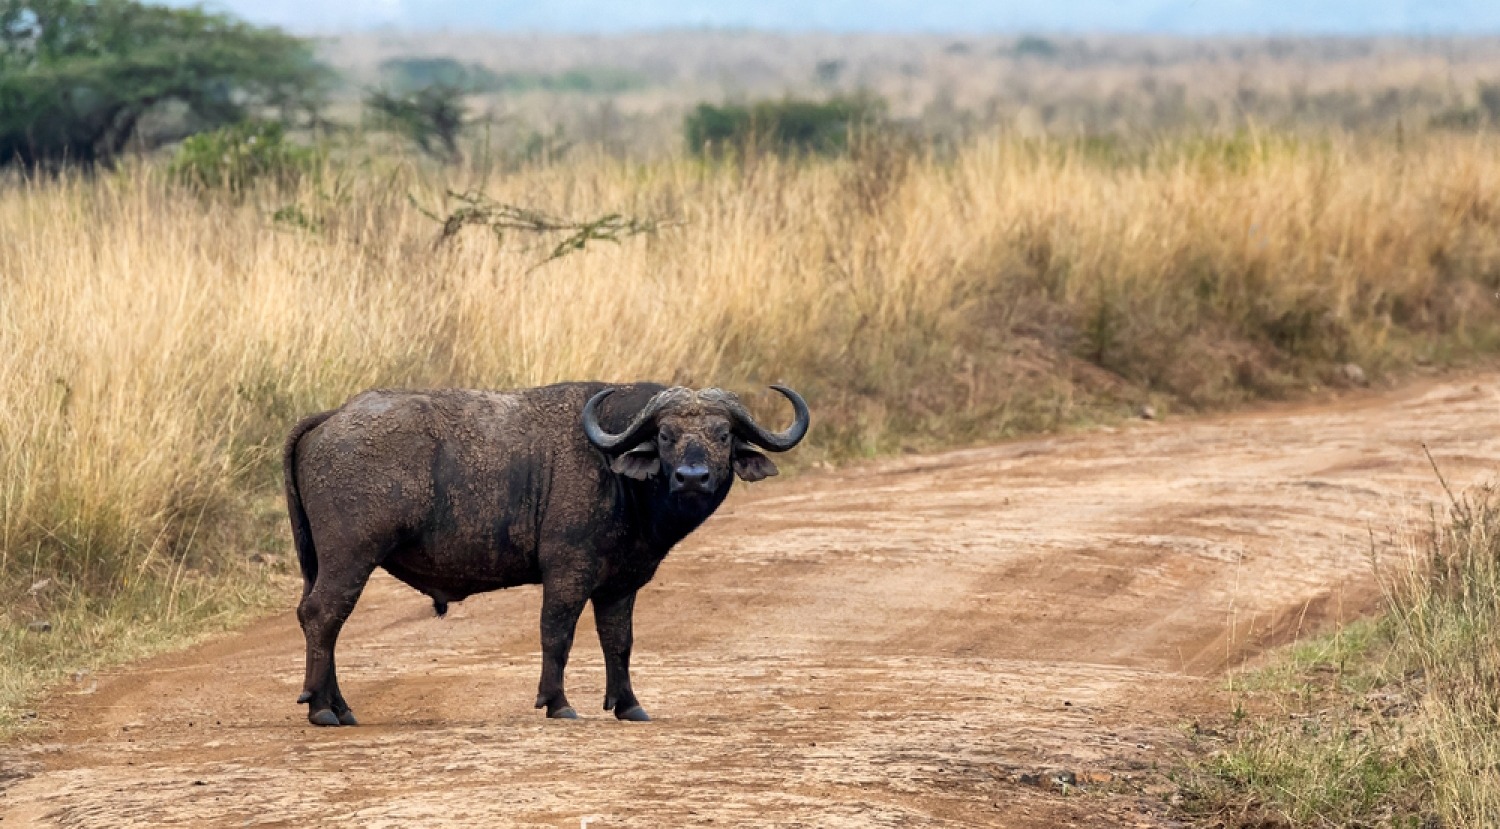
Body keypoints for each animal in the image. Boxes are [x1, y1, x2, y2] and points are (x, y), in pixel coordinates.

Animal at [286, 380, 816, 725]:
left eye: (722, 435)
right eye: (665, 435)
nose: (692, 477)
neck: (616, 473)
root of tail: (332, 417)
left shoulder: (621, 584)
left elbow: (618, 643)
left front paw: (629, 705)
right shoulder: (567, 572)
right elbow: (556, 635)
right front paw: (557, 703)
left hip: (323, 562)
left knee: (321, 620)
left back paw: (339, 707)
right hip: (351, 557)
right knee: (322, 616)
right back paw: (321, 709)